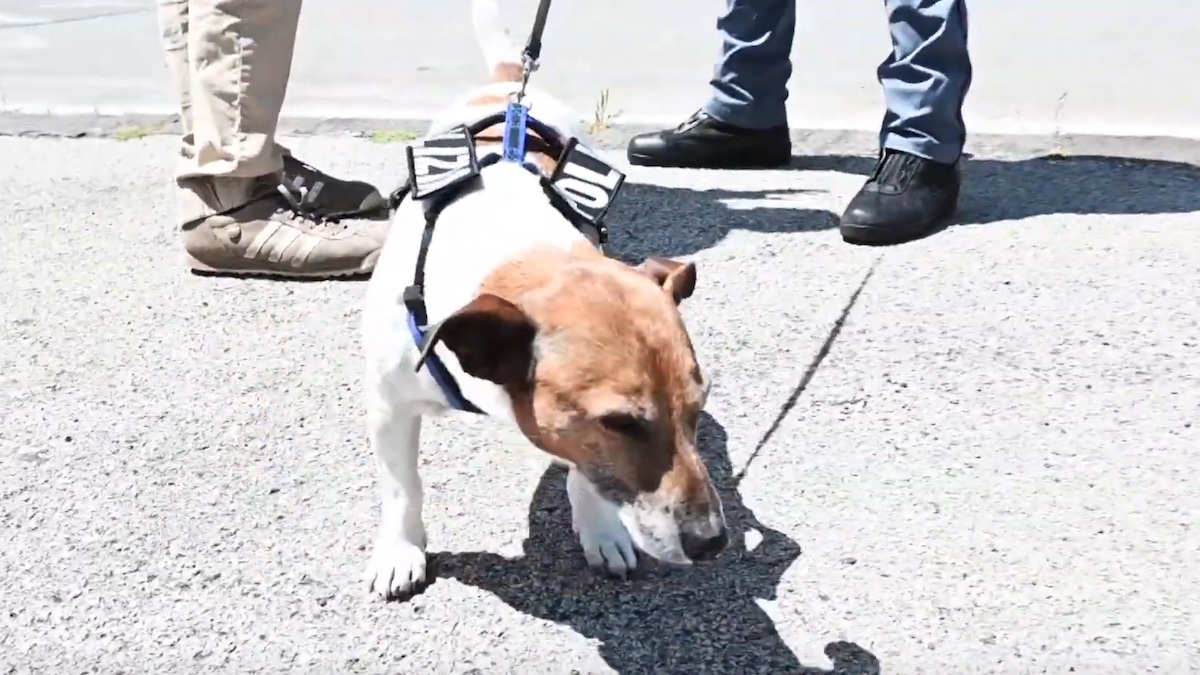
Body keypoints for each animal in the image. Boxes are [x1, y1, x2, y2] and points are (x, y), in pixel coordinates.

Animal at [360, 0, 724, 598]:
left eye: (699, 406)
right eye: (621, 423)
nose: (712, 541)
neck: (509, 242)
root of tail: (511, 82)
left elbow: (587, 473)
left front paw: (601, 530)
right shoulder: (389, 407)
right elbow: (402, 487)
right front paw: (401, 549)